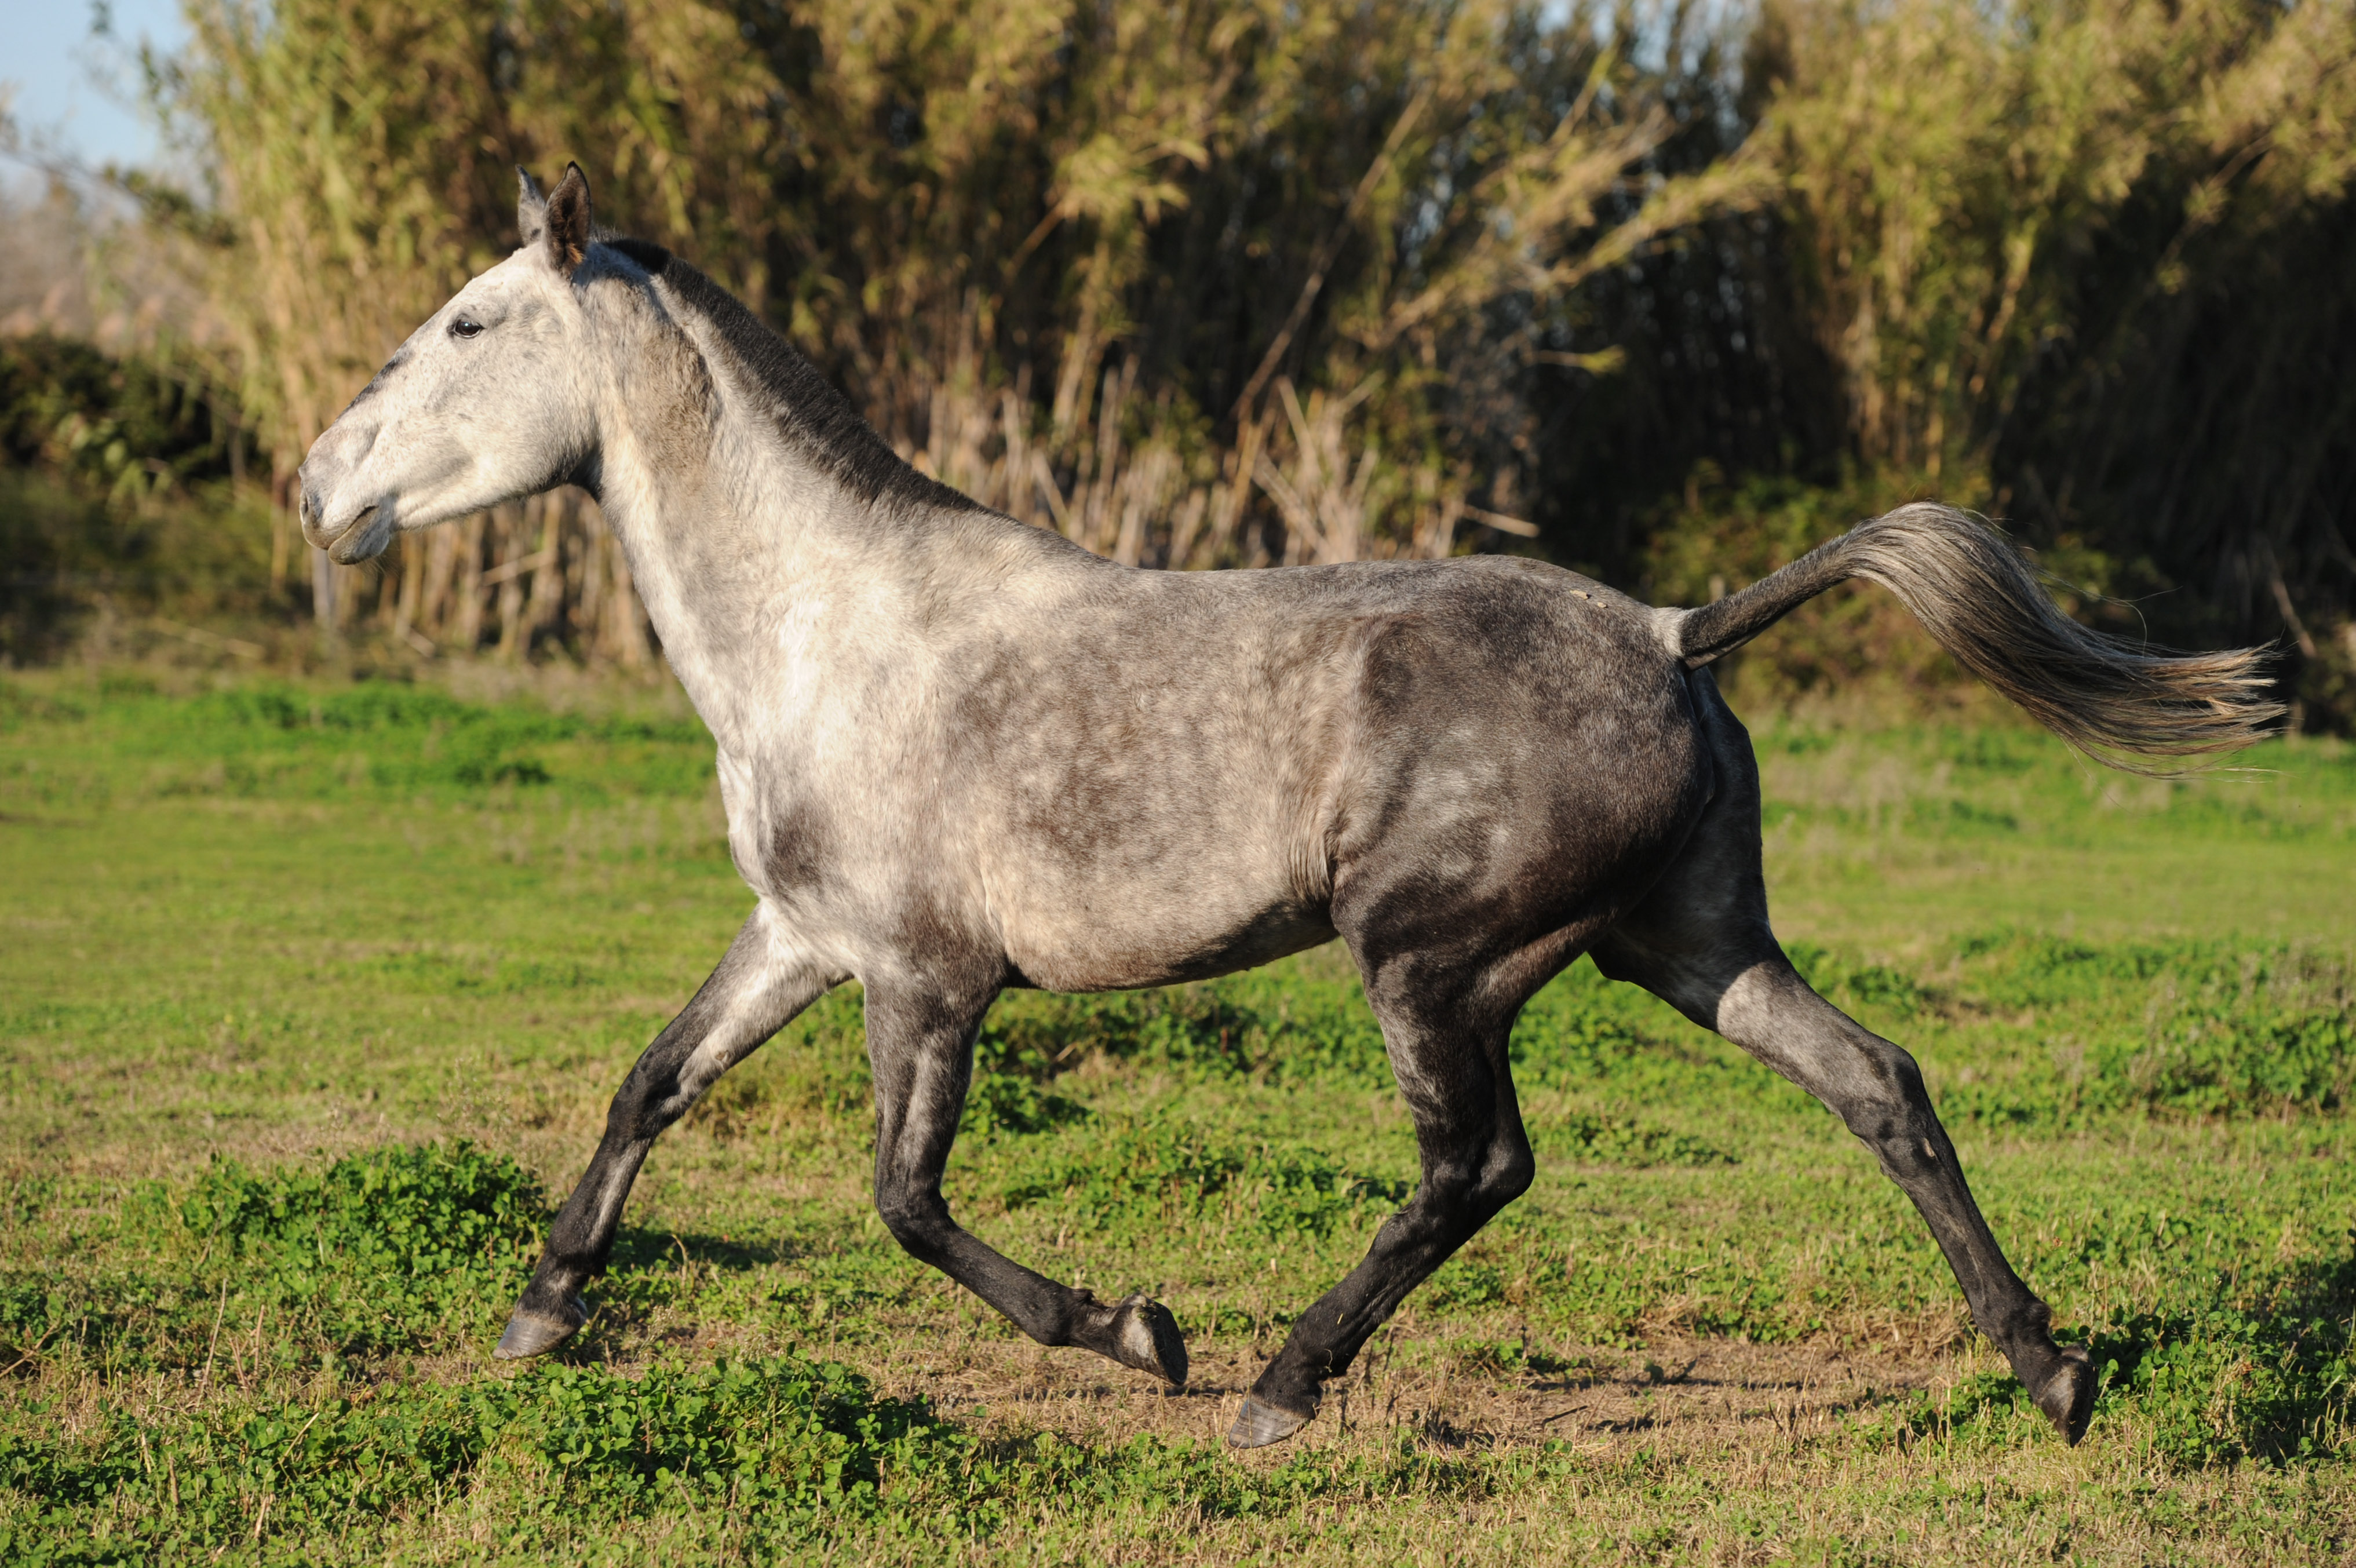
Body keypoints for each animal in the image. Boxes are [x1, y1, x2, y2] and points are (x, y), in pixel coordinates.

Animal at [294, 165, 2280, 1450]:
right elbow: (652, 1082)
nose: (319, 486)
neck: (829, 630)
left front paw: (1137, 1333)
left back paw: (1273, 1385)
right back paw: (2049, 1370)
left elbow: (904, 1200)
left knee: (1478, 1164)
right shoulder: (804, 936)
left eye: (467, 319)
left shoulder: (926, 977)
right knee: (1879, 1086)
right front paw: (539, 1312)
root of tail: (1671, 625)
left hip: (1432, 959)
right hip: (1687, 944)